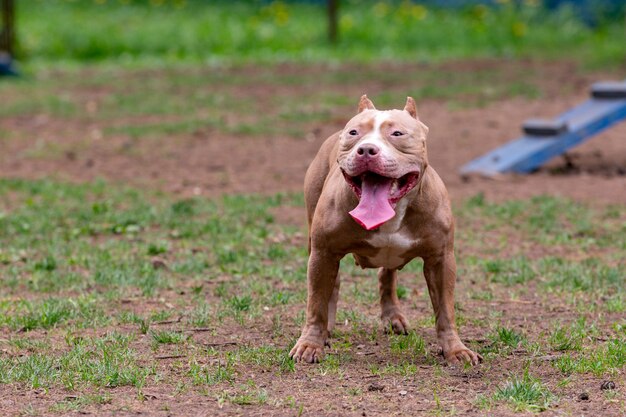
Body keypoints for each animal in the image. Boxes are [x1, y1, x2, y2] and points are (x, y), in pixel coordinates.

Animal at [290, 96, 480, 366]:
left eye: (397, 133)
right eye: (354, 133)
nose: (367, 150)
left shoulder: (441, 260)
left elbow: (445, 310)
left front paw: (455, 349)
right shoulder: (323, 252)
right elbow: (315, 303)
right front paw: (310, 344)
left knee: (387, 276)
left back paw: (393, 317)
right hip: (314, 242)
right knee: (332, 285)